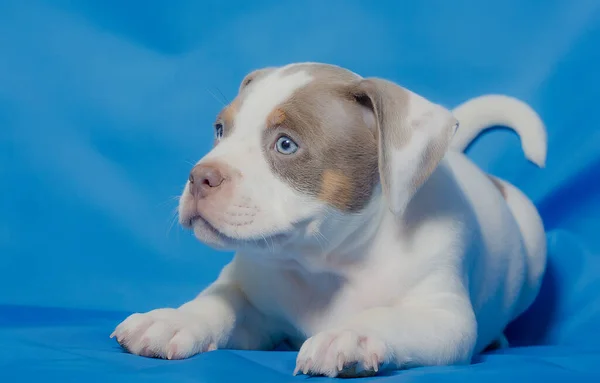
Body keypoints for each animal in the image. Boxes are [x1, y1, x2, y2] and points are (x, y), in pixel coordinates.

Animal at [112, 62, 548, 378]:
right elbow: (218, 302)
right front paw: (172, 320)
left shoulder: (443, 317)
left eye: (286, 144)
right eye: (220, 130)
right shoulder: (253, 304)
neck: (328, 262)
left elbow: (389, 316)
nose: (199, 176)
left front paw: (349, 335)